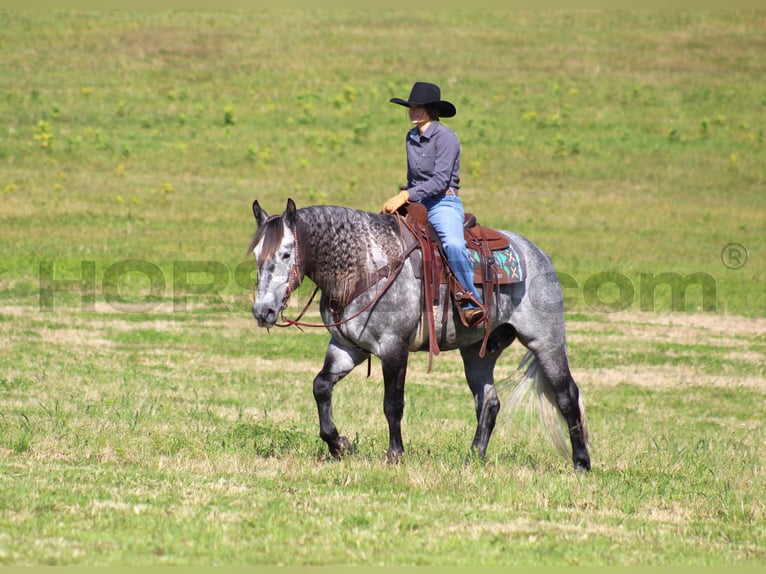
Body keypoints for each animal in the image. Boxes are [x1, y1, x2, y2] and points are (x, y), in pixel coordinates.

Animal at [249, 198, 592, 472]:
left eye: (286, 253)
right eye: (255, 254)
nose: (262, 311)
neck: (365, 267)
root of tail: (539, 255)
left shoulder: (393, 348)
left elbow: (393, 403)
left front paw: (395, 454)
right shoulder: (348, 347)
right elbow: (321, 387)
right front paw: (339, 445)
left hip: (545, 341)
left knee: (567, 395)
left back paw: (581, 463)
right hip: (478, 353)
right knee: (489, 403)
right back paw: (473, 458)